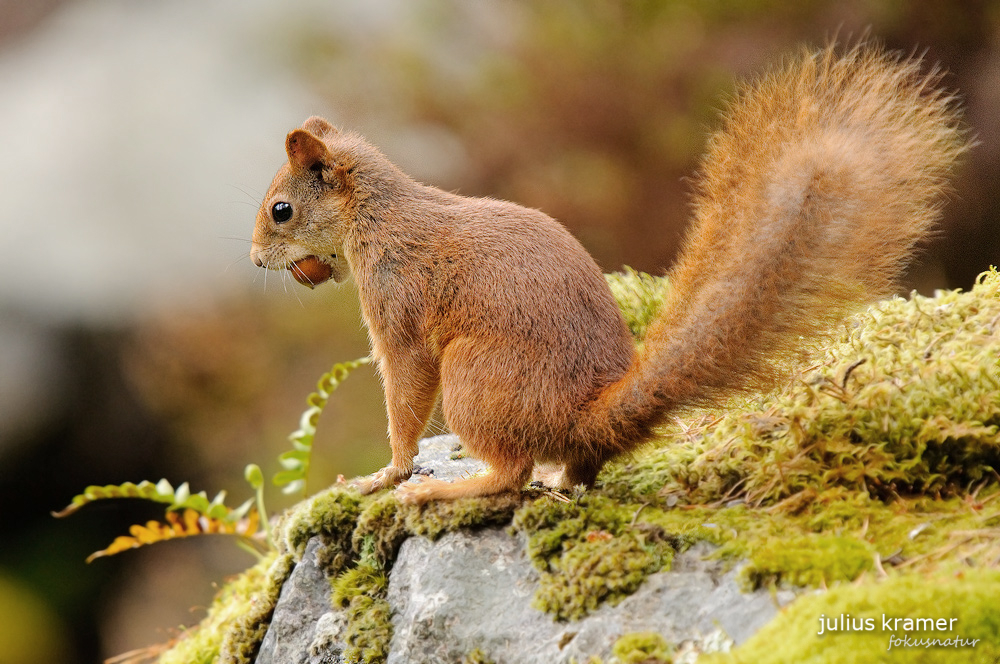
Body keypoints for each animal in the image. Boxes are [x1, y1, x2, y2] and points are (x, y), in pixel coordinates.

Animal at [248, 42, 968, 504]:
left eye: (281, 210)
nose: (255, 260)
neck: (376, 217)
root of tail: (582, 416)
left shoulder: (398, 309)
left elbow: (403, 398)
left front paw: (388, 475)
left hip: (473, 377)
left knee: (509, 474)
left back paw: (451, 491)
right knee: (576, 471)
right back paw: (559, 481)